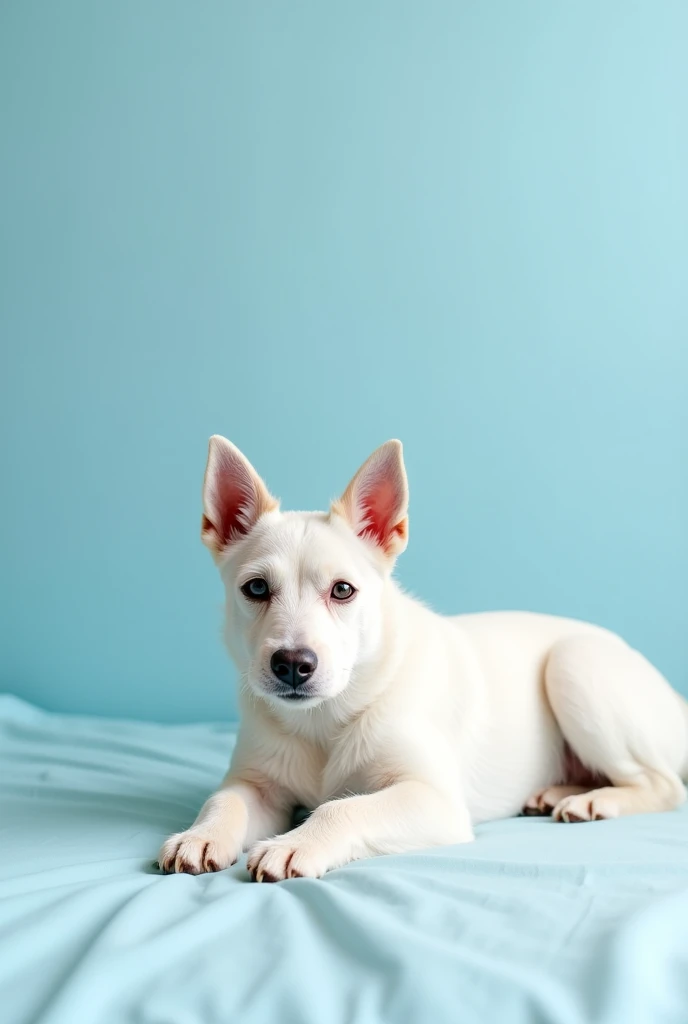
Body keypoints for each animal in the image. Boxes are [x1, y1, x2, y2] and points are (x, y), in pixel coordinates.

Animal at [158, 438, 683, 880]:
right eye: (256, 589)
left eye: (343, 591)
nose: (291, 664)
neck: (326, 719)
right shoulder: (257, 784)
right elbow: (225, 800)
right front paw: (200, 834)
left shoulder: (433, 799)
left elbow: (342, 807)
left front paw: (296, 843)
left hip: (574, 665)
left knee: (663, 786)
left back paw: (596, 801)